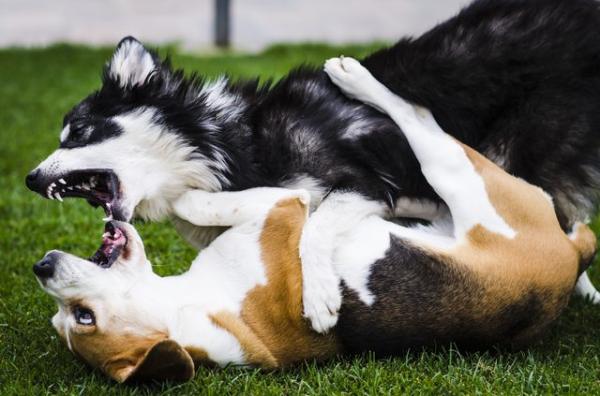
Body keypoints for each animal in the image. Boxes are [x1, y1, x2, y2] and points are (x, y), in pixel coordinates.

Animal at [25, 0, 600, 332]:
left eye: (79, 132)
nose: (29, 179)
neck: (231, 139)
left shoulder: (362, 185)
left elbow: (316, 226)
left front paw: (321, 298)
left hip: (513, 151)